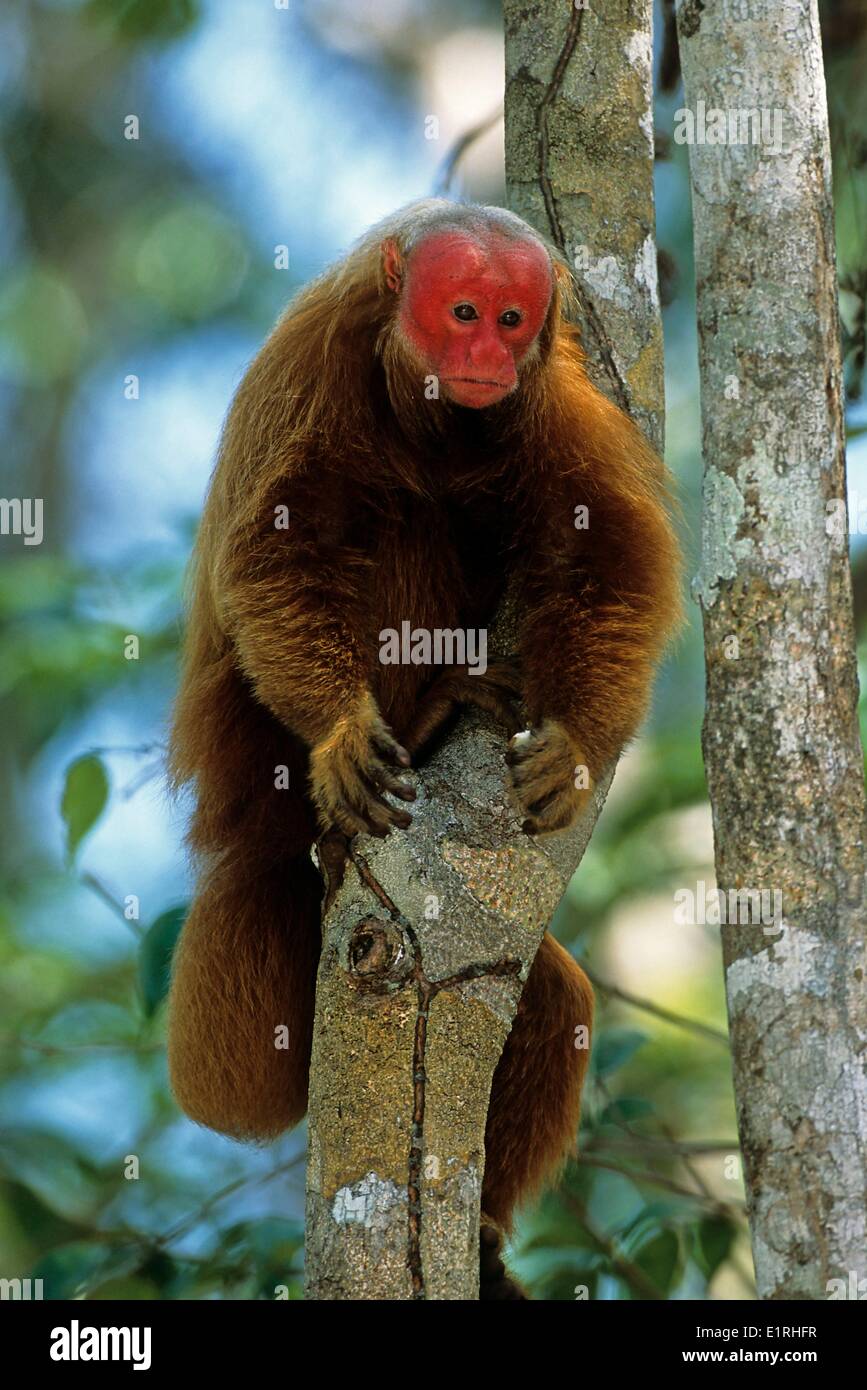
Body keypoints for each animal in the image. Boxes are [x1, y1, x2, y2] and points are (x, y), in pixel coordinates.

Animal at [167, 201, 683, 1295]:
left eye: (511, 317)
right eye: (461, 314)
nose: (486, 355)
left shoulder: (556, 391)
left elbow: (610, 545)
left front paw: (576, 745)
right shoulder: (311, 367)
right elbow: (277, 552)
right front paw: (340, 733)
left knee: (550, 993)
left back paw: (481, 1236)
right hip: (256, 764)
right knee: (389, 516)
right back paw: (406, 738)